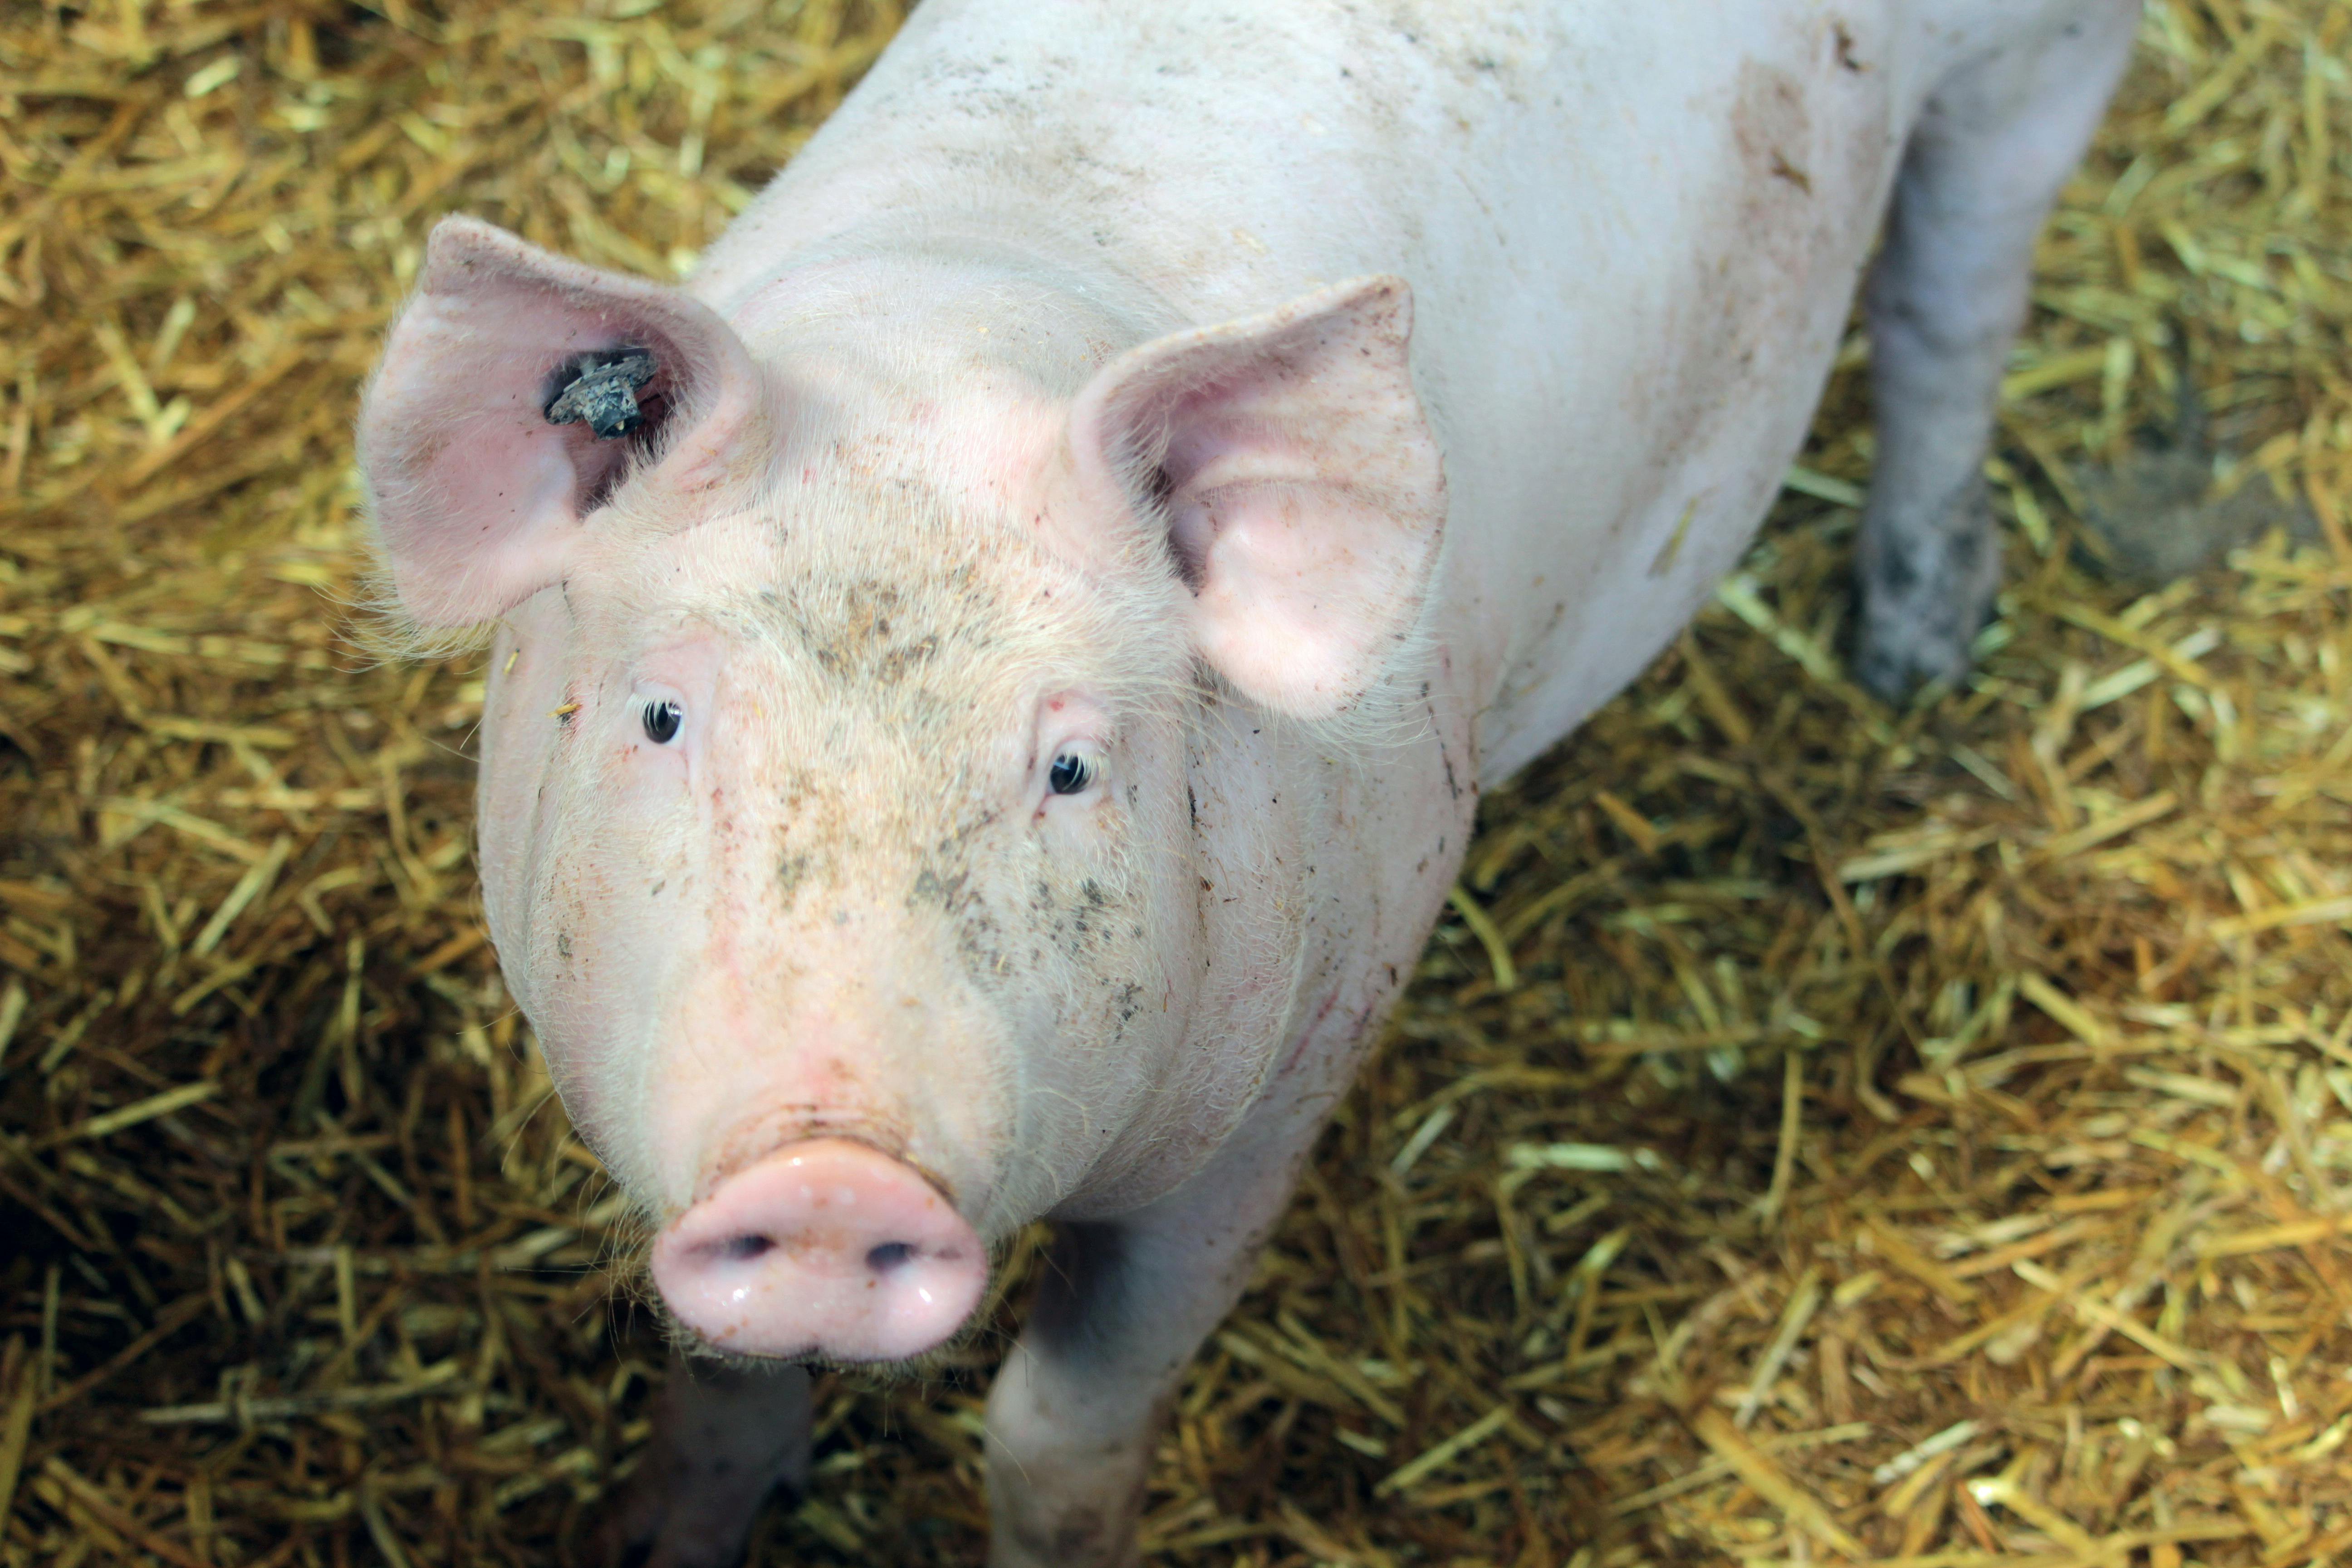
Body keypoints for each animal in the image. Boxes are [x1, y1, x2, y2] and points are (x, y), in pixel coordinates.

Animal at [353, 0, 2138, 1561]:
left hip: (2035, 70)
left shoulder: (1278, 1098)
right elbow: (716, 1380)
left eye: (1074, 765)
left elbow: (1059, 1428)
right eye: (661, 718)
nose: (824, 1170)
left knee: (1949, 313)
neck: (960, 320)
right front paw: (660, 1538)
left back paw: (1914, 647)